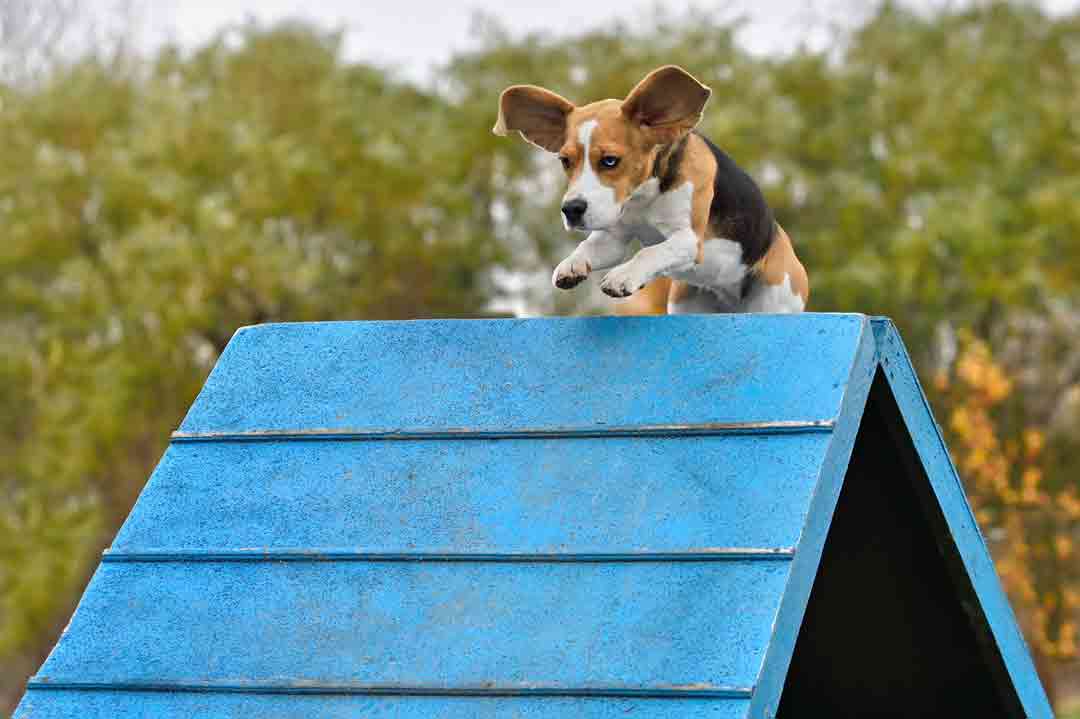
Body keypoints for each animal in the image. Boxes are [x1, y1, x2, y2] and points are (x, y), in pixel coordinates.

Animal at [494, 65, 807, 313]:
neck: (641, 197)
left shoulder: (688, 240)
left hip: (775, 299)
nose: (571, 210)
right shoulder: (613, 238)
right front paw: (572, 264)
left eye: (610, 160)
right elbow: (591, 246)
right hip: (685, 303)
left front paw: (623, 277)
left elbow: (652, 252)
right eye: (565, 161)